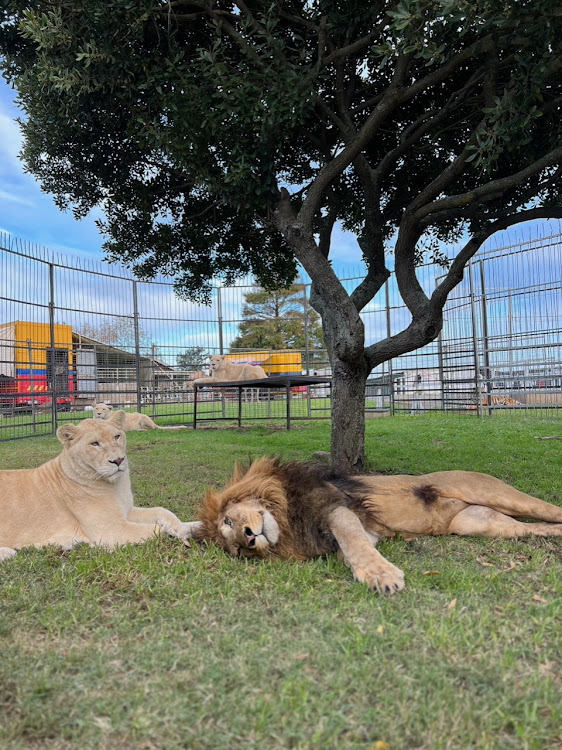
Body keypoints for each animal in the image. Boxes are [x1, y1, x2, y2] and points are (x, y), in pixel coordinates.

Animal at [0, 418, 191, 564]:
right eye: (94, 444)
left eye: (117, 436)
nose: (119, 460)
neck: (115, 485)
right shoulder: (112, 530)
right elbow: (157, 530)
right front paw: (179, 534)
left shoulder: (126, 512)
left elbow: (162, 511)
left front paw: (181, 527)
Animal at [184, 462, 560, 596]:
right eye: (235, 549)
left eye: (230, 521)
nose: (248, 539)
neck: (287, 519)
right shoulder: (364, 531)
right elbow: (353, 548)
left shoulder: (336, 508)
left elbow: (353, 542)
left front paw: (382, 576)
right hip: (480, 524)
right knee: (538, 527)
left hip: (497, 495)